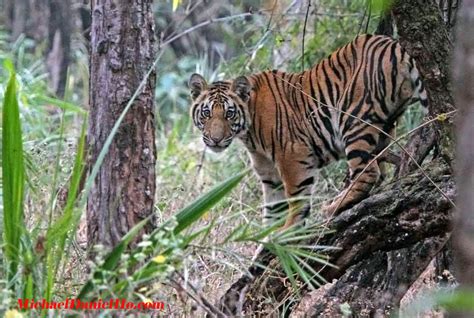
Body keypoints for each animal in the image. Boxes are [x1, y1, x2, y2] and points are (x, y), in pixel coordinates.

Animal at [187, 34, 428, 229]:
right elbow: (271, 214)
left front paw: (288, 232)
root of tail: (395, 45)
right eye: (206, 113)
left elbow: (296, 199)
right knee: (383, 166)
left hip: (353, 119)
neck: (248, 133)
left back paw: (333, 207)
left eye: (229, 114)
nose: (215, 140)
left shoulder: (293, 155)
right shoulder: (269, 174)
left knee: (369, 173)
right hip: (385, 127)